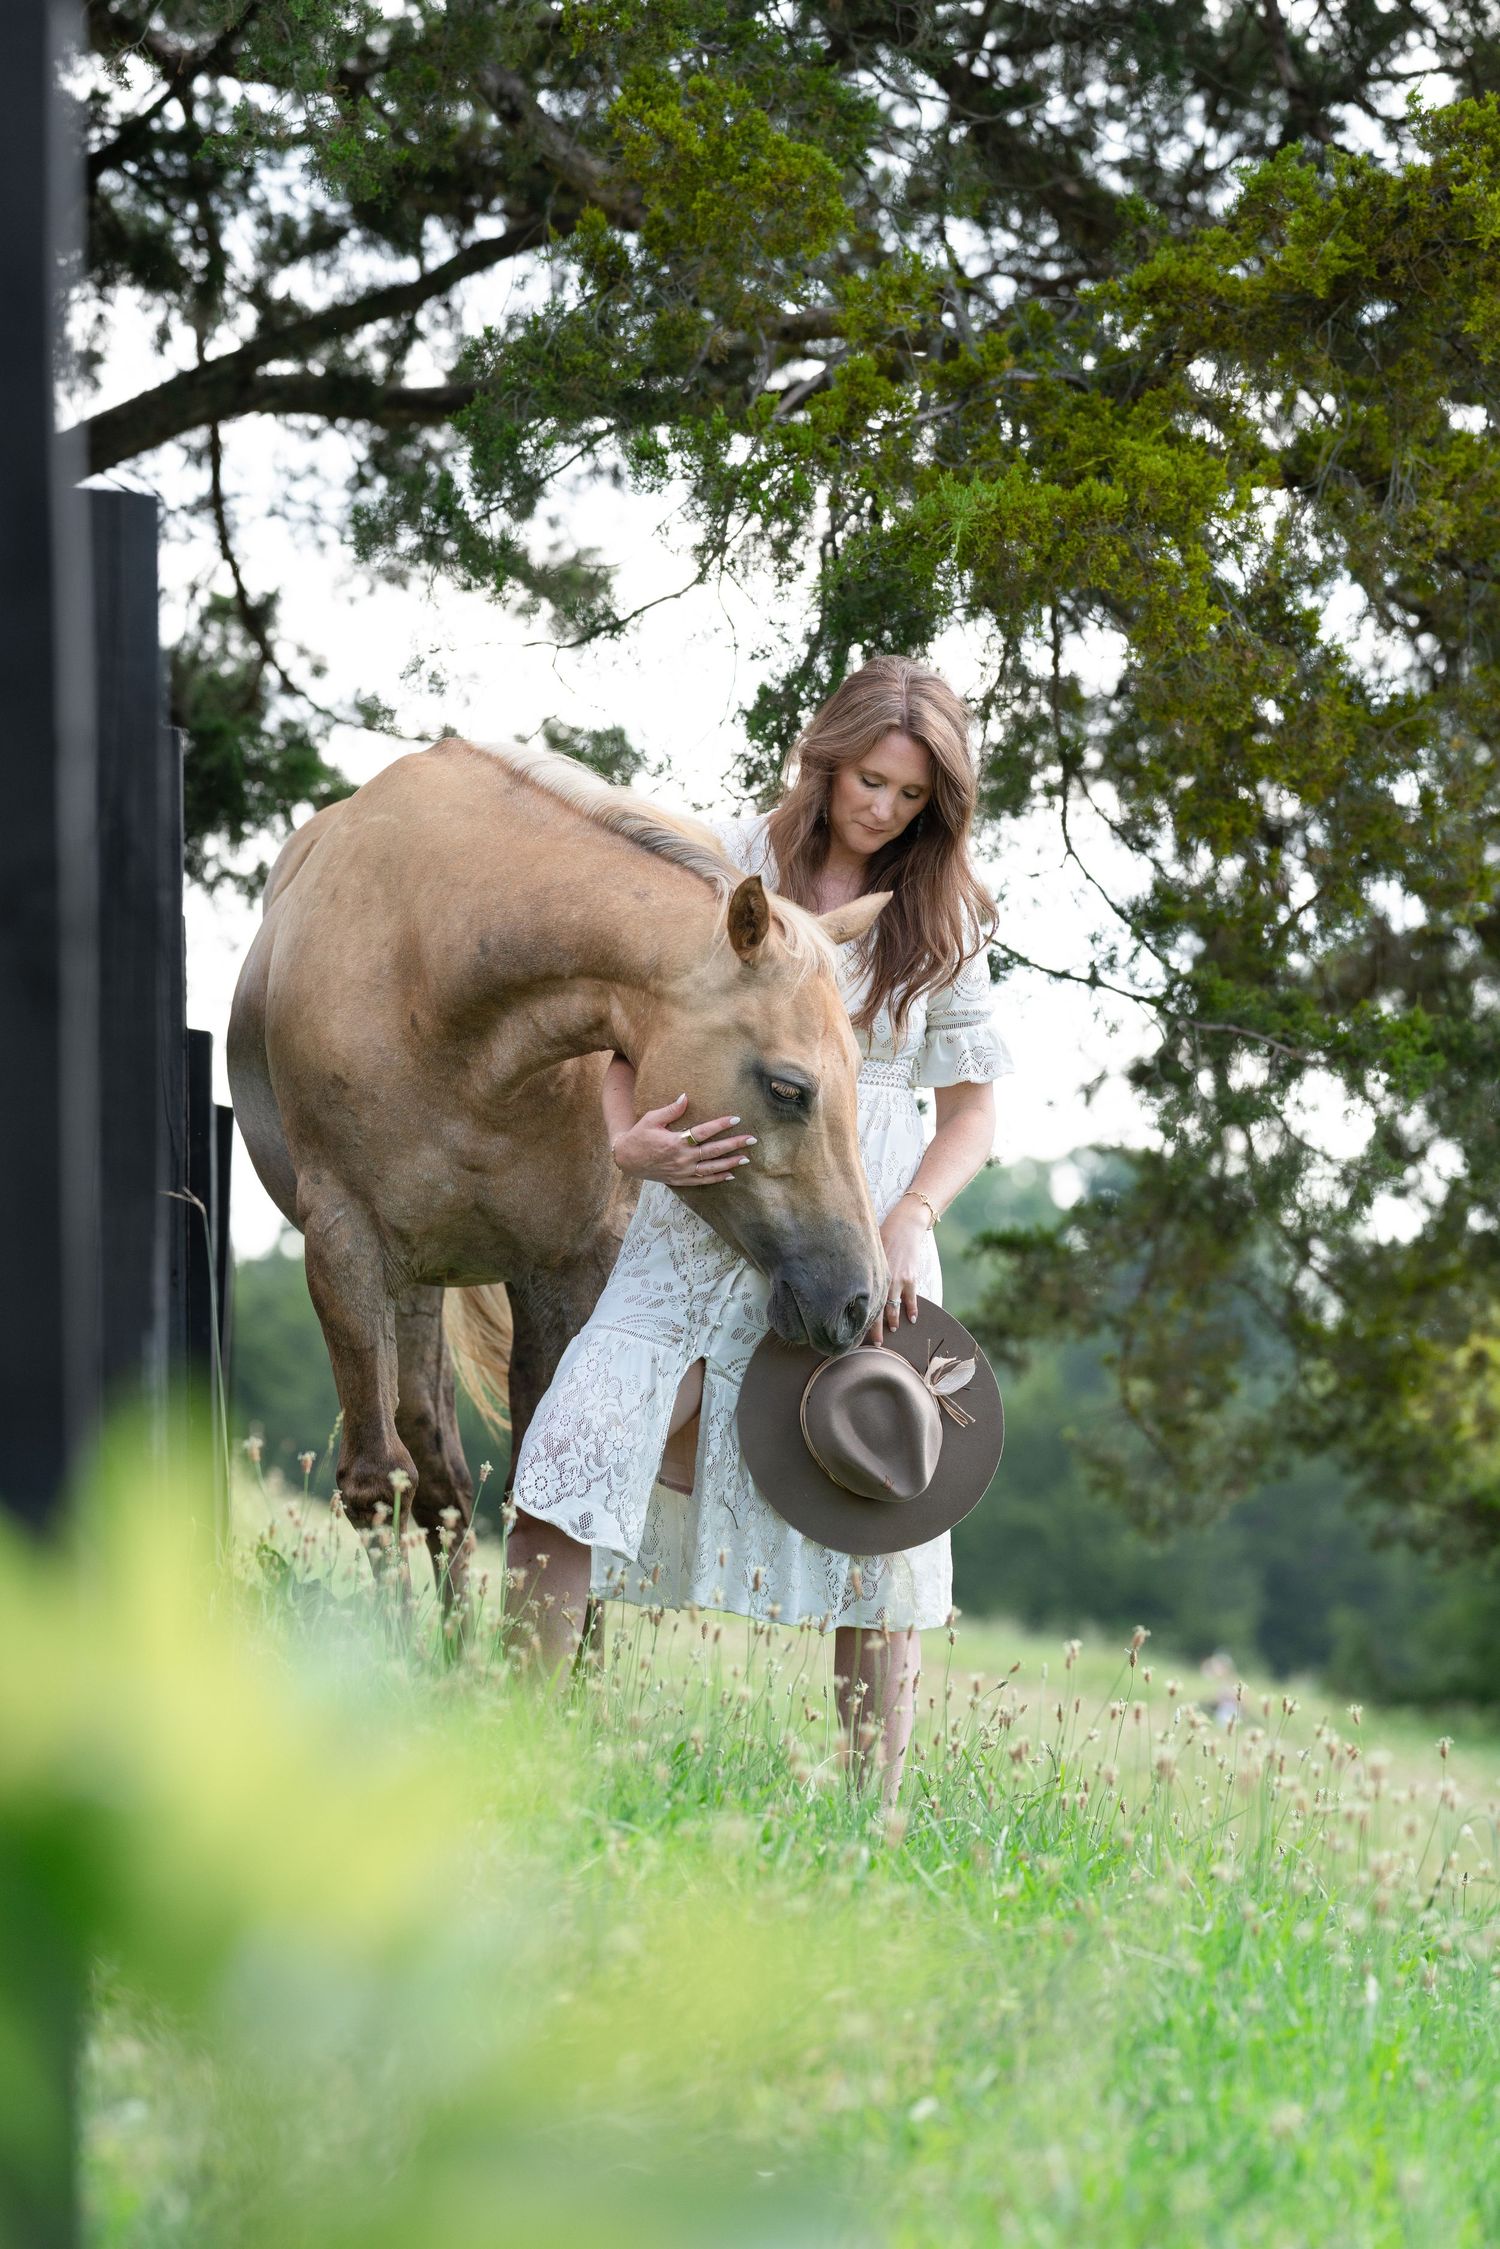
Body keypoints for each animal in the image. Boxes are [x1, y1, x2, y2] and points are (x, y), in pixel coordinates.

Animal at [227, 736, 891, 1600]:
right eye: (788, 1087)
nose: (858, 1299)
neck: (435, 965)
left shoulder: (563, 1265)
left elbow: (545, 1506)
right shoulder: (343, 1243)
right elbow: (378, 1483)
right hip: (410, 1283)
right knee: (433, 1476)